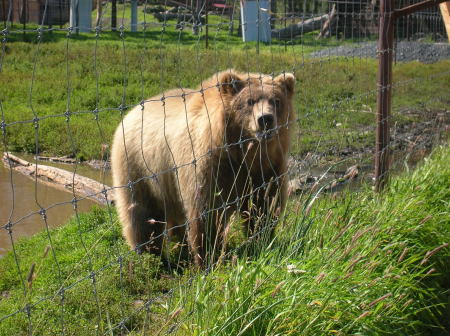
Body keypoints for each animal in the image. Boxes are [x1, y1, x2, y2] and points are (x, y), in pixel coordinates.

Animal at [110, 69, 296, 266]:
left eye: (276, 101)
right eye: (250, 101)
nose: (265, 119)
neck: (242, 152)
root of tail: (131, 112)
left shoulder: (266, 168)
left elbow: (264, 203)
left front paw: (261, 239)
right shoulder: (209, 165)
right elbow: (207, 211)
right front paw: (208, 256)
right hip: (139, 168)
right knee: (142, 215)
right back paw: (151, 256)